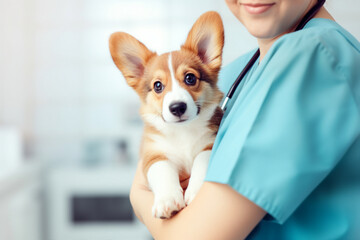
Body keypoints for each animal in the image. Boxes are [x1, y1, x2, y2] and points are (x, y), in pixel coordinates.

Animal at [108, 11, 224, 218]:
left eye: (190, 78)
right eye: (157, 86)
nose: (177, 107)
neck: (183, 131)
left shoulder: (210, 143)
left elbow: (201, 161)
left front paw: (195, 192)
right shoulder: (154, 156)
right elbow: (162, 172)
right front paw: (167, 200)